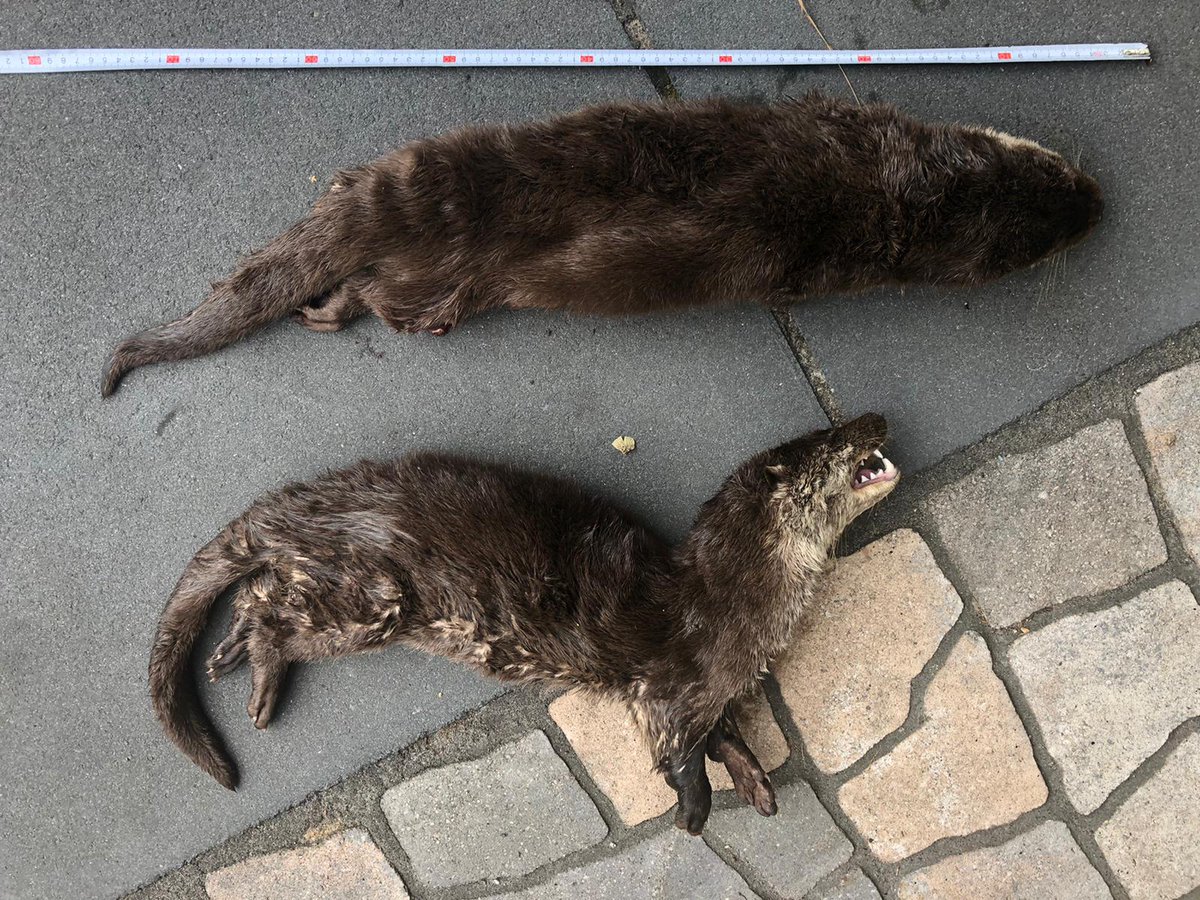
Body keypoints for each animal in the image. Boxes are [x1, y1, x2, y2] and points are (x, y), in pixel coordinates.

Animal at [103, 94, 1102, 395]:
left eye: (1057, 177)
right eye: (1044, 240)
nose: (1097, 202)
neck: (883, 184)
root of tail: (409, 206)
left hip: (420, 196)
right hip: (436, 275)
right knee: (388, 300)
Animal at [148, 413, 899, 834]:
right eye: (835, 438)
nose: (876, 415)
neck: (737, 606)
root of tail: (302, 507)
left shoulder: (715, 687)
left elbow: (726, 734)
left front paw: (755, 782)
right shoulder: (671, 683)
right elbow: (678, 750)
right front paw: (695, 812)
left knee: (259, 594)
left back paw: (231, 660)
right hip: (371, 595)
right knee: (269, 609)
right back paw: (255, 684)